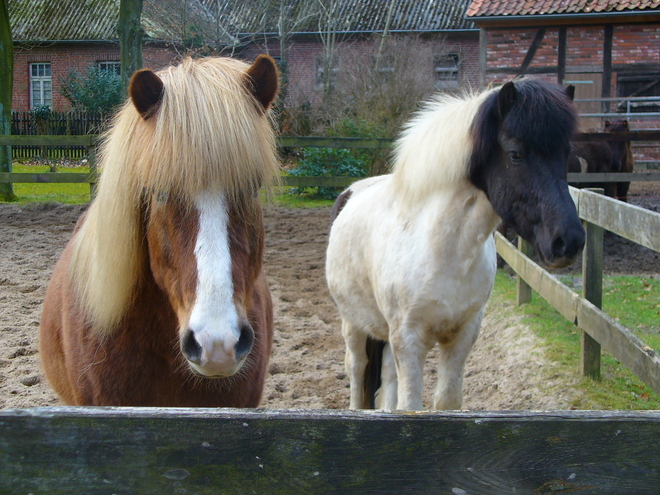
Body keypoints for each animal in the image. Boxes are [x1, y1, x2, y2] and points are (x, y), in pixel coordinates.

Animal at [328, 80, 584, 410]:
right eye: (515, 154)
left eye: (566, 153)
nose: (569, 240)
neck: (442, 251)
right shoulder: (408, 340)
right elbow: (410, 406)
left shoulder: (462, 336)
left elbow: (446, 402)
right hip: (354, 323)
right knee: (357, 370)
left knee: (386, 378)